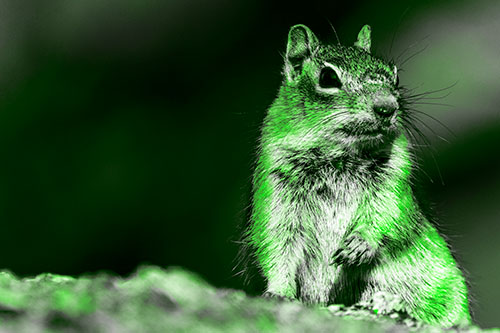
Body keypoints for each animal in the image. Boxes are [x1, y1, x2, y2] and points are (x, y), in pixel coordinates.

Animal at [240, 24, 470, 326]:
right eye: (327, 77)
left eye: (395, 76)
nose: (387, 108)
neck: (338, 156)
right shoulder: (276, 188)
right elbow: (276, 244)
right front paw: (279, 292)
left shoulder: (394, 181)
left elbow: (389, 214)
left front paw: (361, 244)